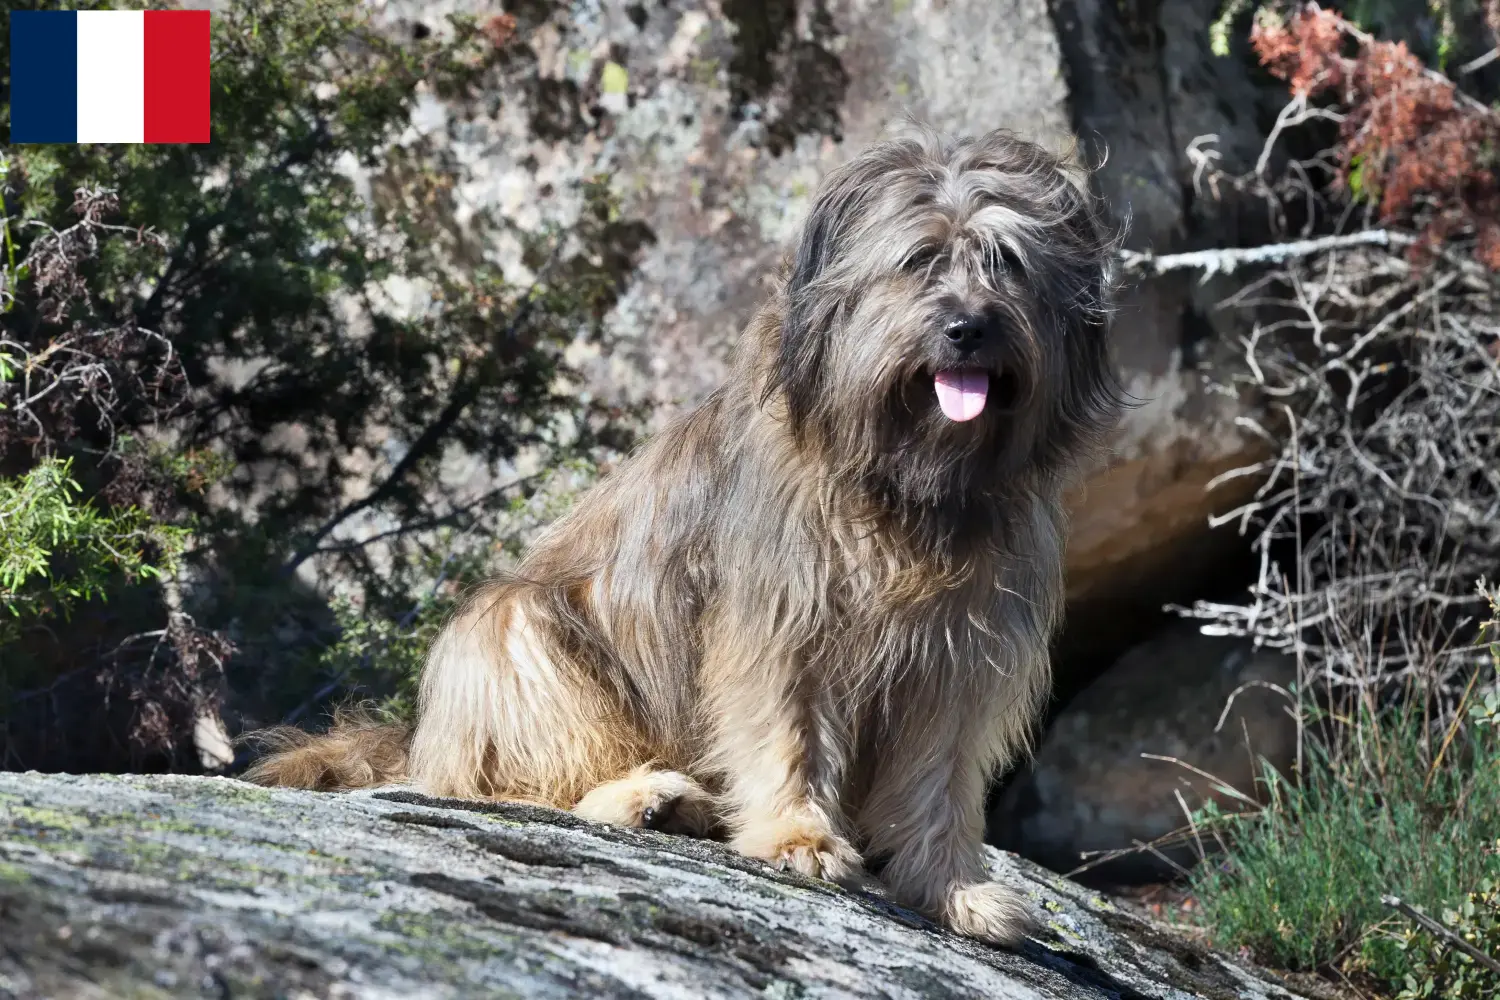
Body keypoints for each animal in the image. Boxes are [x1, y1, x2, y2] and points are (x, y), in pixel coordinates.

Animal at [246, 127, 1122, 947]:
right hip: (512, 632)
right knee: (504, 780)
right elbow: (786, 735)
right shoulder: (784, 623)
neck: (908, 482)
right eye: (918, 260)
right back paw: (645, 797)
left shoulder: (960, 660)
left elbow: (940, 781)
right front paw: (800, 838)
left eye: (1006, 262)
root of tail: (417, 739)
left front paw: (953, 890)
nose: (968, 328)